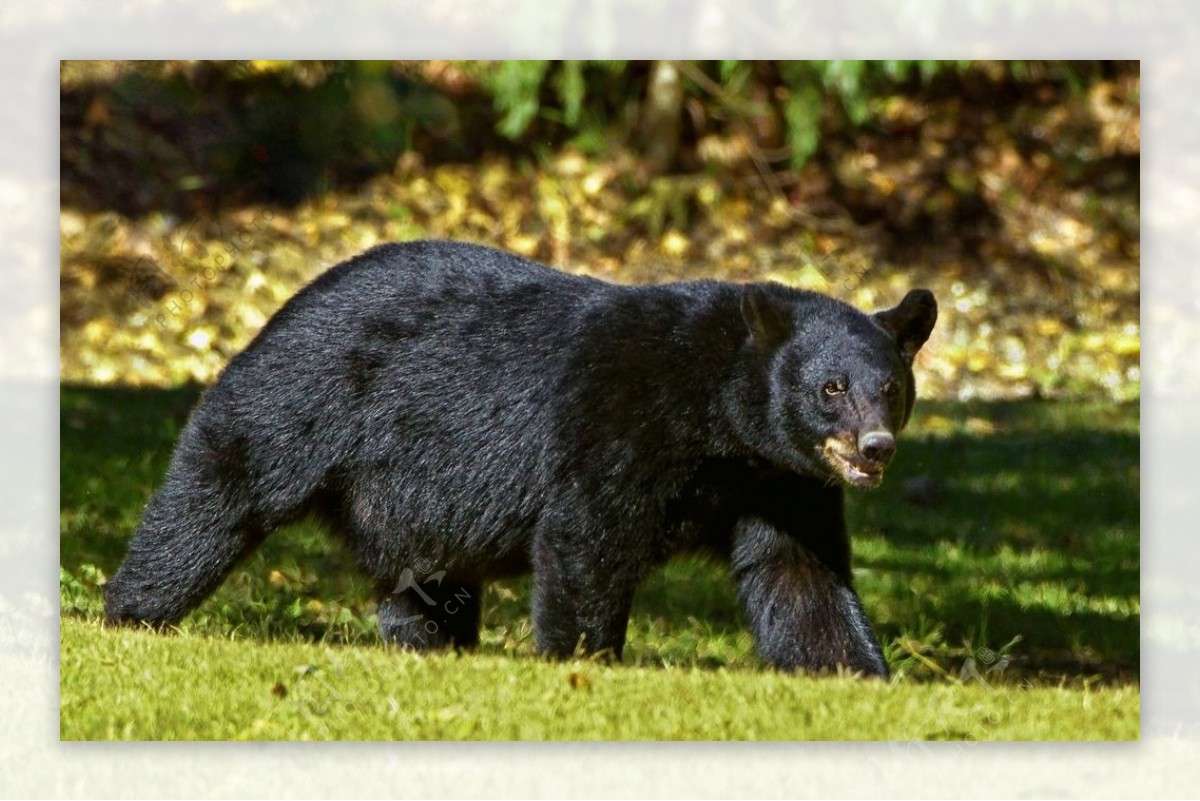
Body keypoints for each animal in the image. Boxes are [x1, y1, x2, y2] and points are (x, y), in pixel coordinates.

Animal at [105, 237, 936, 676]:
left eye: (891, 387)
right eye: (830, 387)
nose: (875, 446)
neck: (719, 419)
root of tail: (288, 300)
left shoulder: (779, 478)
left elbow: (799, 571)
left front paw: (856, 671)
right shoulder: (621, 418)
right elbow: (587, 537)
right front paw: (585, 661)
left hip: (407, 498)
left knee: (423, 582)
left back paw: (430, 647)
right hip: (301, 396)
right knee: (217, 492)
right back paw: (131, 611)